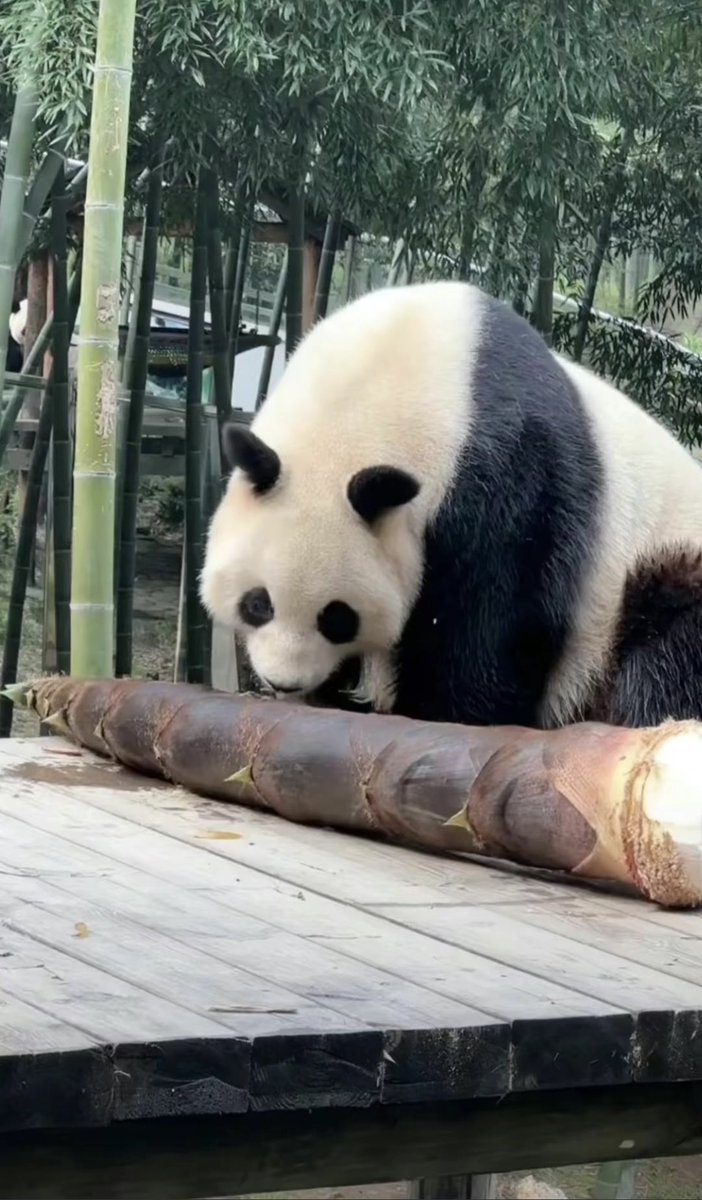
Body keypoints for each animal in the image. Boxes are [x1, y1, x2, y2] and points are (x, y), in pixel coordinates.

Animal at [200, 279, 702, 731]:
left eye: (337, 618)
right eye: (257, 603)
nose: (283, 682)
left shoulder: (511, 471)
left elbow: (497, 618)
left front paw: (436, 711)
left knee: (668, 645)